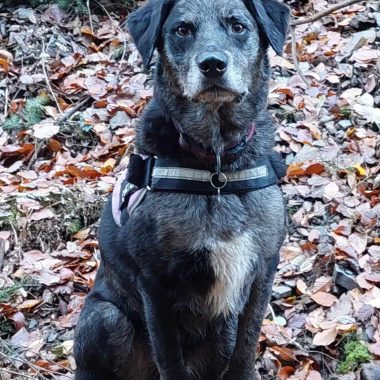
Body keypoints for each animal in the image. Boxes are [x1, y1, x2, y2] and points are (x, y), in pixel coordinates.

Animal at [73, 0, 288, 378]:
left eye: (238, 26)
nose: (213, 64)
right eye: (182, 30)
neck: (216, 169)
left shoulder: (263, 268)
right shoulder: (155, 282)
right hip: (104, 316)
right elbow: (169, 357)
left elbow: (246, 346)